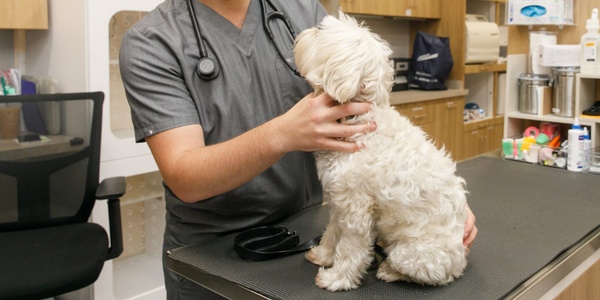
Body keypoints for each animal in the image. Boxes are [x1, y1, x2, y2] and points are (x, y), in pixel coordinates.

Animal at [294, 12, 468, 292]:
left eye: (321, 32)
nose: (303, 32)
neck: (357, 120)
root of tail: (459, 262)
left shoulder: (356, 210)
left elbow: (350, 249)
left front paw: (337, 278)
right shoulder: (339, 203)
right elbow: (332, 232)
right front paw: (323, 254)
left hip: (410, 253)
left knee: (427, 275)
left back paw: (388, 270)